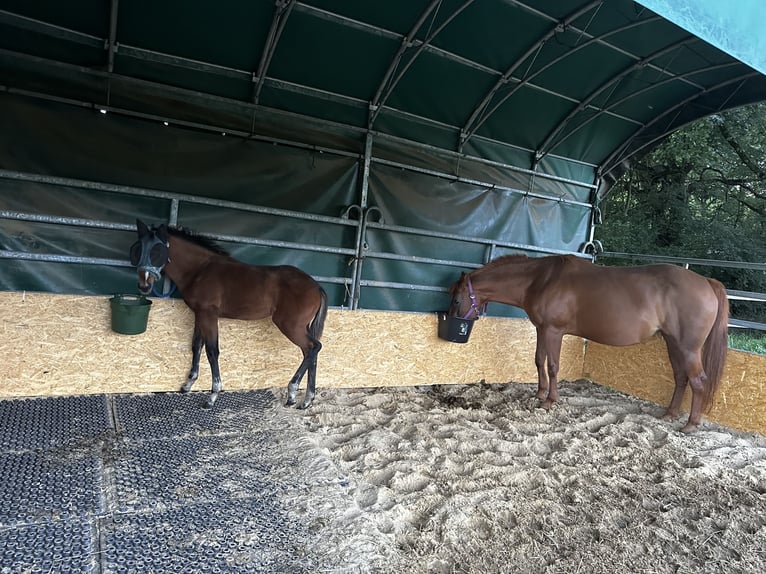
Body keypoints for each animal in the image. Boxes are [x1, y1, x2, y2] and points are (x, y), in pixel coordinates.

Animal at [131, 219, 328, 410]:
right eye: (138, 248)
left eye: (158, 251)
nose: (144, 286)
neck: (200, 269)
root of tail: (316, 286)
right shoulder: (199, 315)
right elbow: (196, 346)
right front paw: (188, 384)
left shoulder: (209, 315)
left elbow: (212, 351)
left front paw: (212, 396)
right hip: (300, 327)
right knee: (310, 352)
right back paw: (307, 400)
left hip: (290, 325)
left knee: (313, 348)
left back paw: (293, 393)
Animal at [450, 254, 732, 434]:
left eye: (456, 299)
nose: (454, 323)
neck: (541, 279)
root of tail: (706, 282)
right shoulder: (542, 330)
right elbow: (539, 360)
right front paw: (539, 393)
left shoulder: (553, 331)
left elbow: (553, 365)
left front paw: (549, 400)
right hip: (673, 344)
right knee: (681, 377)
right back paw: (670, 414)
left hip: (688, 348)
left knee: (698, 381)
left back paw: (690, 424)